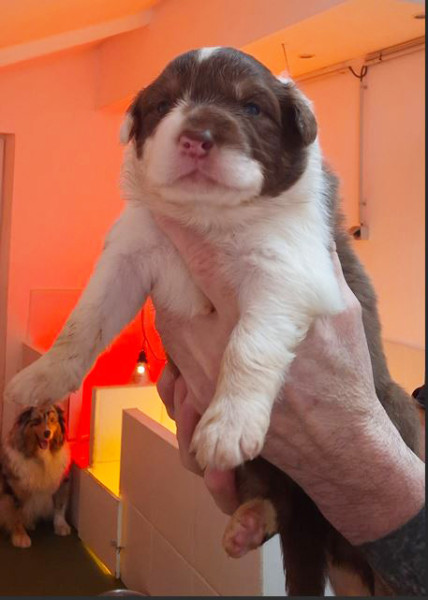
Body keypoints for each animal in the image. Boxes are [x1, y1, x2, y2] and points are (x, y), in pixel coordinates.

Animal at [0, 405, 71, 547]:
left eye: (52, 420)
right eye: (36, 421)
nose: (47, 433)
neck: (41, 458)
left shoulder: (61, 480)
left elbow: (59, 506)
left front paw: (61, 526)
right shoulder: (13, 490)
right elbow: (15, 515)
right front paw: (20, 537)